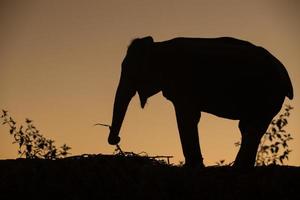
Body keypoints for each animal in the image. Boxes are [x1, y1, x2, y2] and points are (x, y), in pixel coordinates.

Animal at [108, 35, 292, 167]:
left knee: (252, 128)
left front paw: (192, 166)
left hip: (267, 94)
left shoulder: (182, 82)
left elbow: (186, 116)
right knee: (248, 127)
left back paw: (239, 167)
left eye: (130, 72)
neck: (159, 45)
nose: (116, 139)